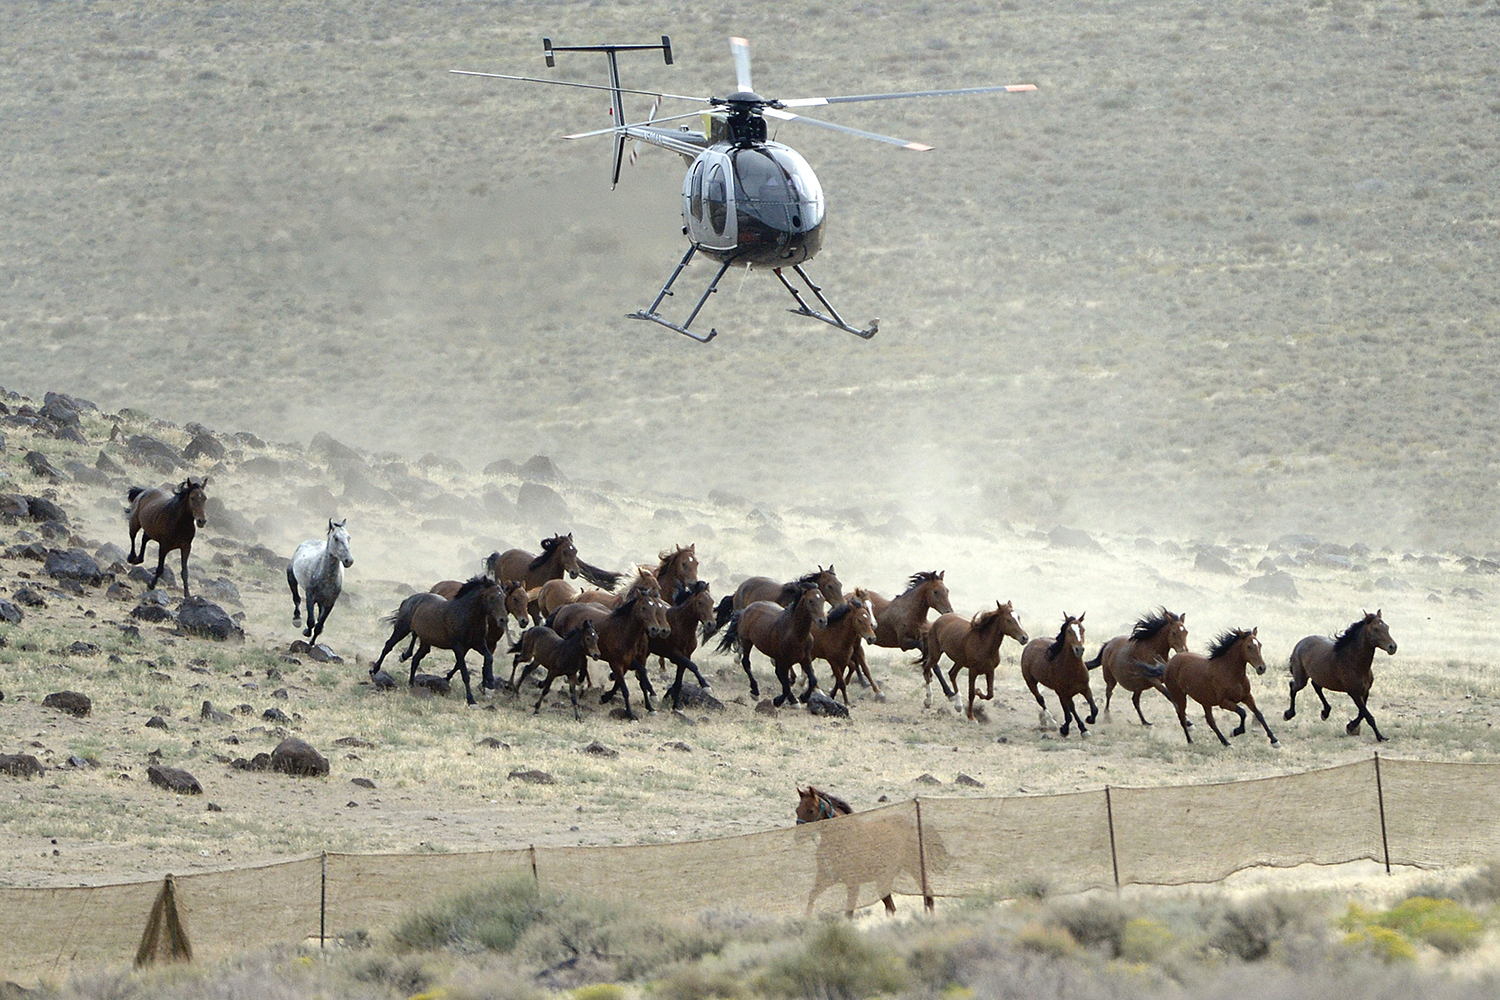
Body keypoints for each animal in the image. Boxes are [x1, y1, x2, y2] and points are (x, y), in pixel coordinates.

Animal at [370, 575, 507, 707]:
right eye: (491, 597)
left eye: (503, 597)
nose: (503, 620)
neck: (465, 614)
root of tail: (408, 600)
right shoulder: (458, 648)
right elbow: (465, 673)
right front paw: (471, 700)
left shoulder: (478, 643)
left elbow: (489, 657)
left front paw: (490, 684)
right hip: (401, 629)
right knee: (388, 646)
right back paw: (374, 670)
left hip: (425, 643)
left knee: (415, 658)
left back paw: (411, 684)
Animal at [552, 587, 669, 719]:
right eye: (644, 607)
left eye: (655, 609)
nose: (656, 629)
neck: (623, 632)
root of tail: (564, 608)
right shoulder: (616, 663)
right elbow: (624, 689)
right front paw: (630, 714)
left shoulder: (631, 661)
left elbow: (639, 680)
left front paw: (650, 707)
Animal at [1284, 611, 1398, 743]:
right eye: (1376, 629)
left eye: (1387, 627)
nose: (1393, 647)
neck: (1354, 662)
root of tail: (1300, 643)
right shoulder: (1354, 693)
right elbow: (1368, 715)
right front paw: (1380, 736)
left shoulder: (1365, 692)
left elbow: (1362, 713)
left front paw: (1351, 727)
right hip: (1301, 679)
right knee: (1293, 686)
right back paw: (1288, 714)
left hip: (1319, 676)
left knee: (1316, 686)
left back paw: (1325, 712)